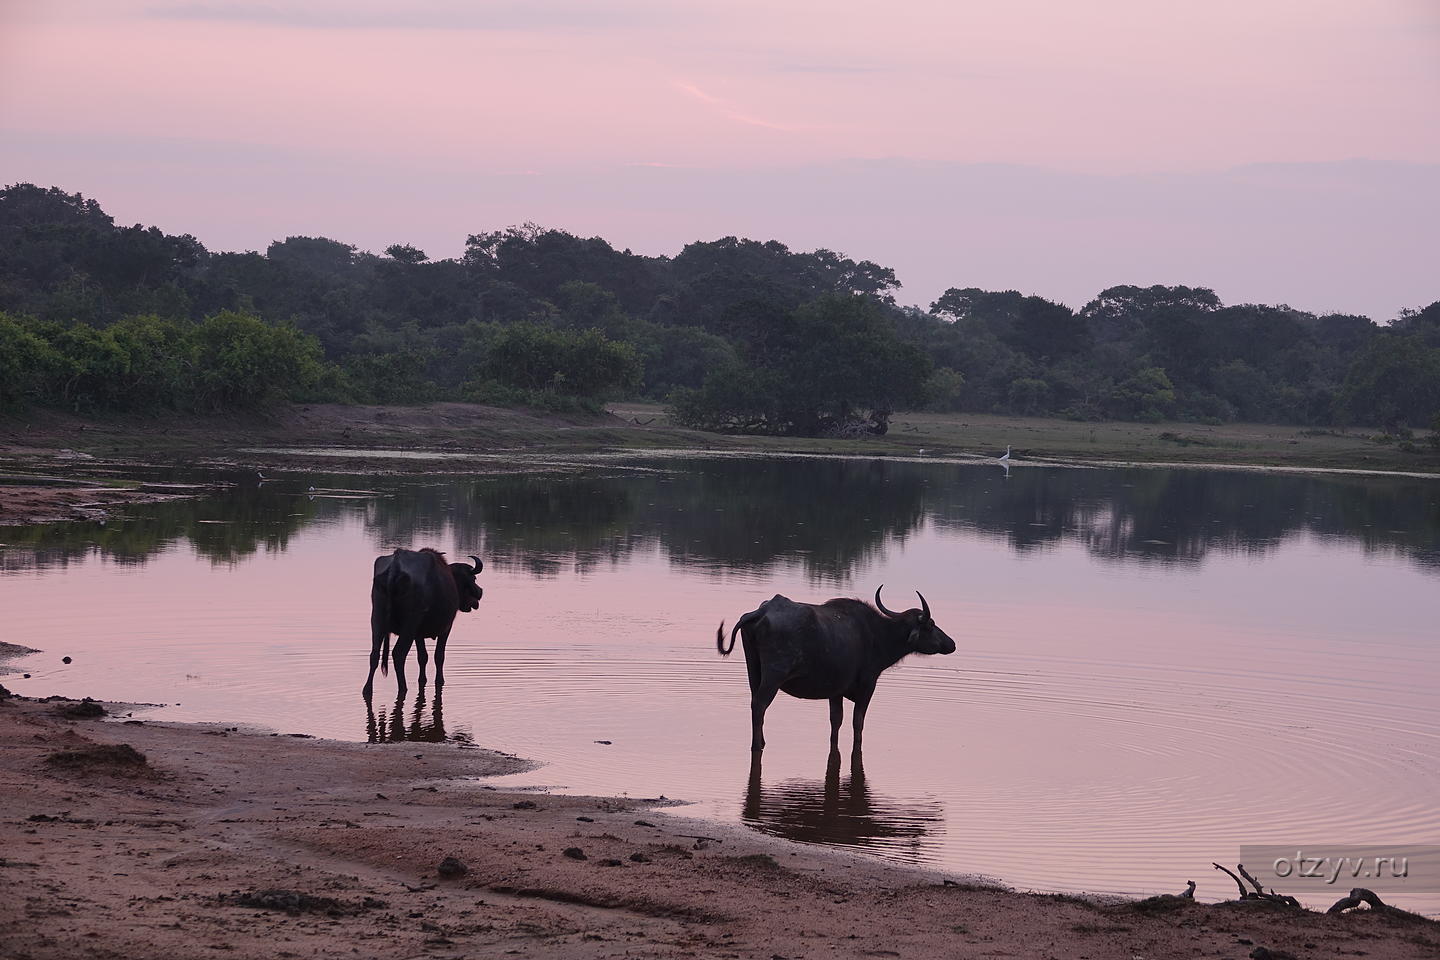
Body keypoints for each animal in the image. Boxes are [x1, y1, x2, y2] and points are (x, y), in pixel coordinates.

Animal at [365, 546, 483, 699]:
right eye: (473, 578)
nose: (480, 592)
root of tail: (396, 565)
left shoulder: (418, 634)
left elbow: (423, 657)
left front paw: (422, 679)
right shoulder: (446, 628)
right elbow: (439, 656)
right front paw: (440, 680)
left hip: (377, 619)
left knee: (374, 654)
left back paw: (367, 689)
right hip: (409, 624)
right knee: (398, 653)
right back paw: (403, 687)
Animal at [717, 590, 956, 754]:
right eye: (931, 624)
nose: (951, 644)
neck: (877, 635)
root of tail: (762, 611)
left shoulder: (836, 691)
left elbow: (836, 720)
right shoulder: (868, 686)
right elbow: (858, 722)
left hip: (753, 669)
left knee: (754, 703)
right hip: (774, 675)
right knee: (759, 704)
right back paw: (757, 745)